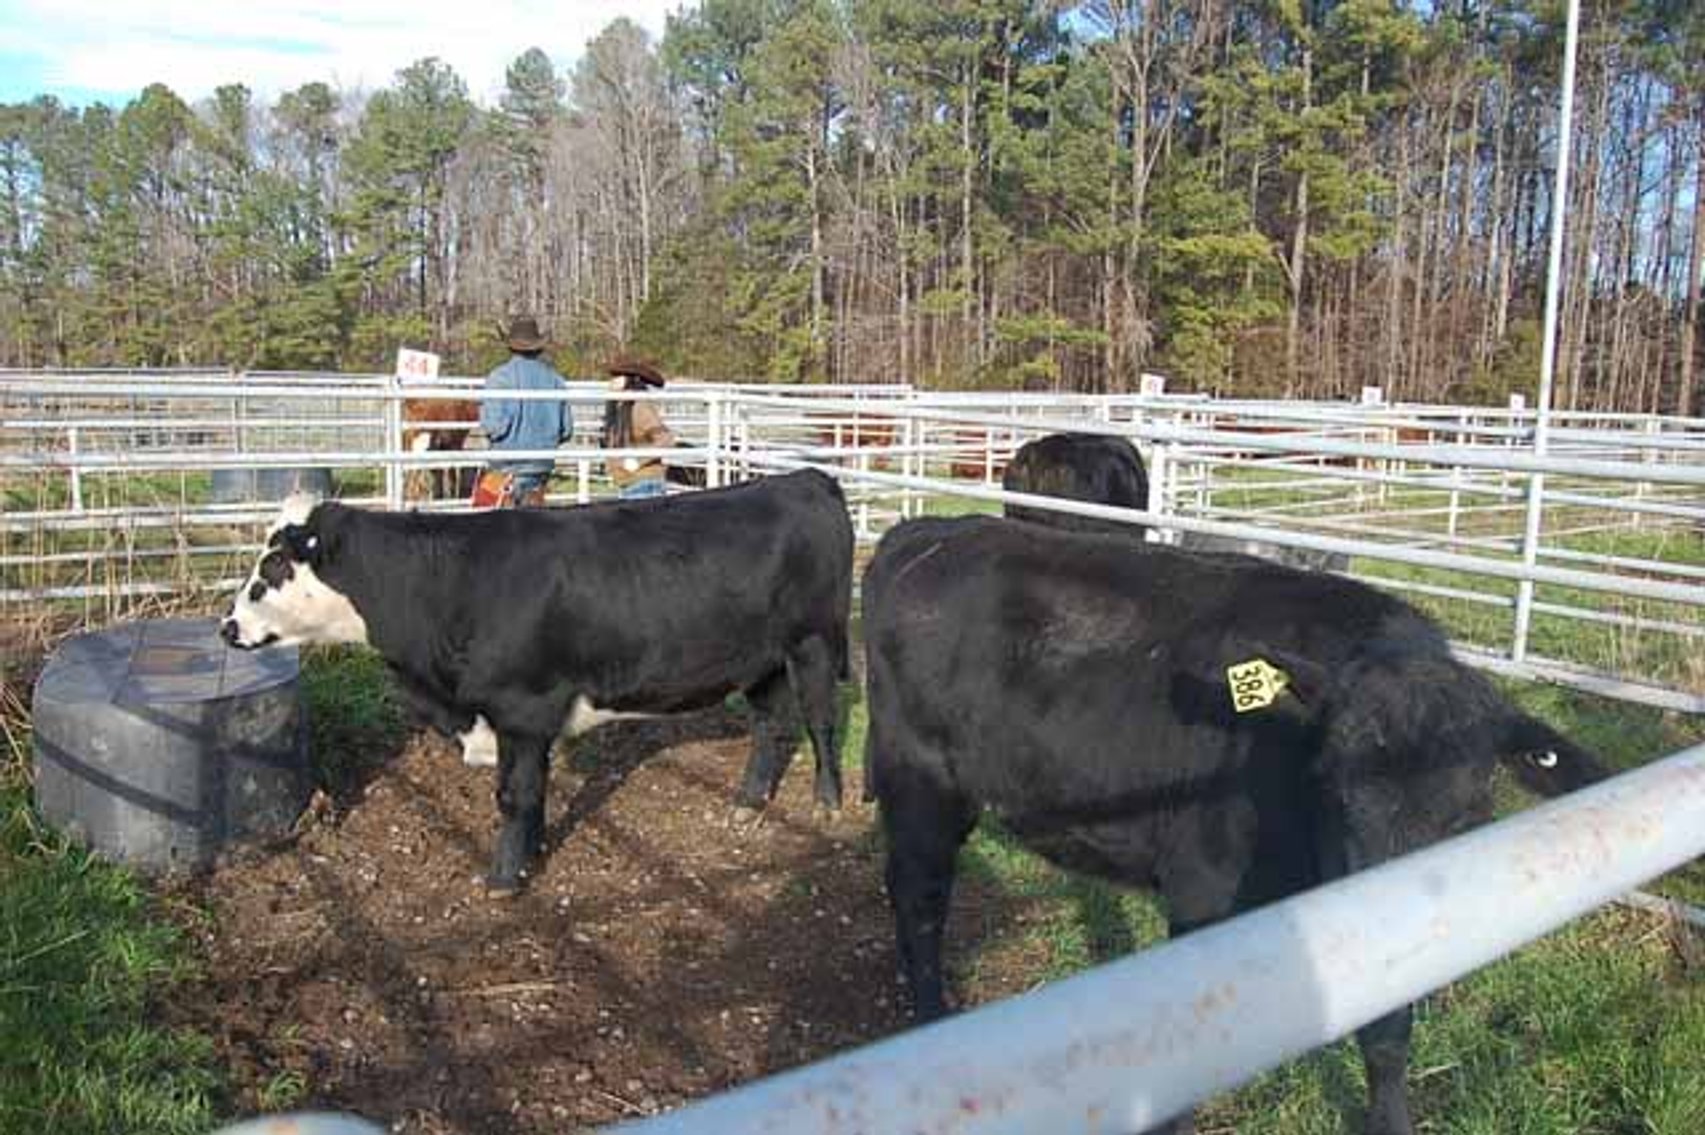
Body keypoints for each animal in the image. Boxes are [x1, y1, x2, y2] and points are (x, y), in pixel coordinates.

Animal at [221, 468, 855, 893]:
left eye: (274, 566)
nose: (228, 628)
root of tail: (805, 478)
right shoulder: (530, 720)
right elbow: (537, 792)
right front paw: (534, 852)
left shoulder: (522, 710)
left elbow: (513, 795)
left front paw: (505, 877)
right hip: (760, 660)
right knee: (770, 725)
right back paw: (747, 803)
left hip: (815, 642)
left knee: (821, 719)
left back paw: (827, 802)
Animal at [861, 515, 1610, 1135]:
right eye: (1334, 790)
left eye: (1472, 806)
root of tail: (929, 531)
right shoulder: (1202, 889)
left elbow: (1386, 1033)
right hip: (918, 785)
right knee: (919, 897)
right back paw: (930, 1020)